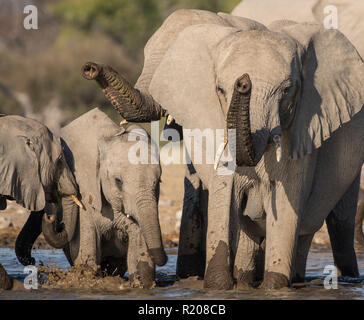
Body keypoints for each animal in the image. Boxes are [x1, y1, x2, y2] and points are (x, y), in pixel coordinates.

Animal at [18, 109, 168, 288]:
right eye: (118, 181)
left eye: (158, 182)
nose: (50, 217)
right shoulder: (84, 189)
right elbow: (86, 254)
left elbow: (139, 247)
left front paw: (142, 284)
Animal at [81, 10, 364, 290]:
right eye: (219, 89)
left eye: (287, 90)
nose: (90, 67)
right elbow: (222, 189)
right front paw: (216, 284)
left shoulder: (301, 127)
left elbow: (286, 198)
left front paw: (275, 287)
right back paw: (246, 279)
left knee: (328, 220)